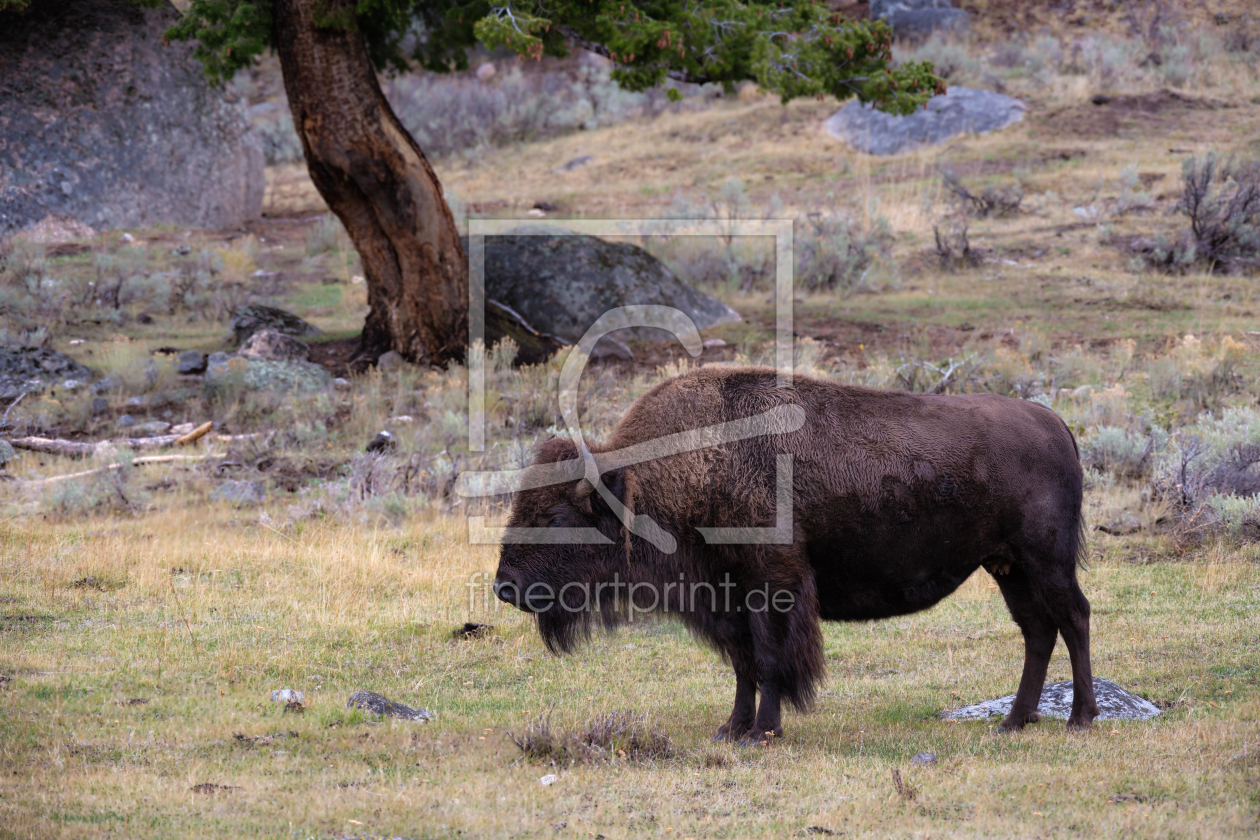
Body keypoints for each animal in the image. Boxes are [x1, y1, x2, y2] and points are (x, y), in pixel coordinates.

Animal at [486, 365, 1098, 740]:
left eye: (555, 517)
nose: (504, 587)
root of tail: (1054, 422)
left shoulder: (772, 586)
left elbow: (771, 660)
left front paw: (763, 731)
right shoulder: (726, 599)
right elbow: (744, 664)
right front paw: (731, 729)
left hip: (1045, 561)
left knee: (1073, 618)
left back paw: (1080, 718)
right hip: (1007, 567)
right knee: (1037, 630)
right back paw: (1016, 721)